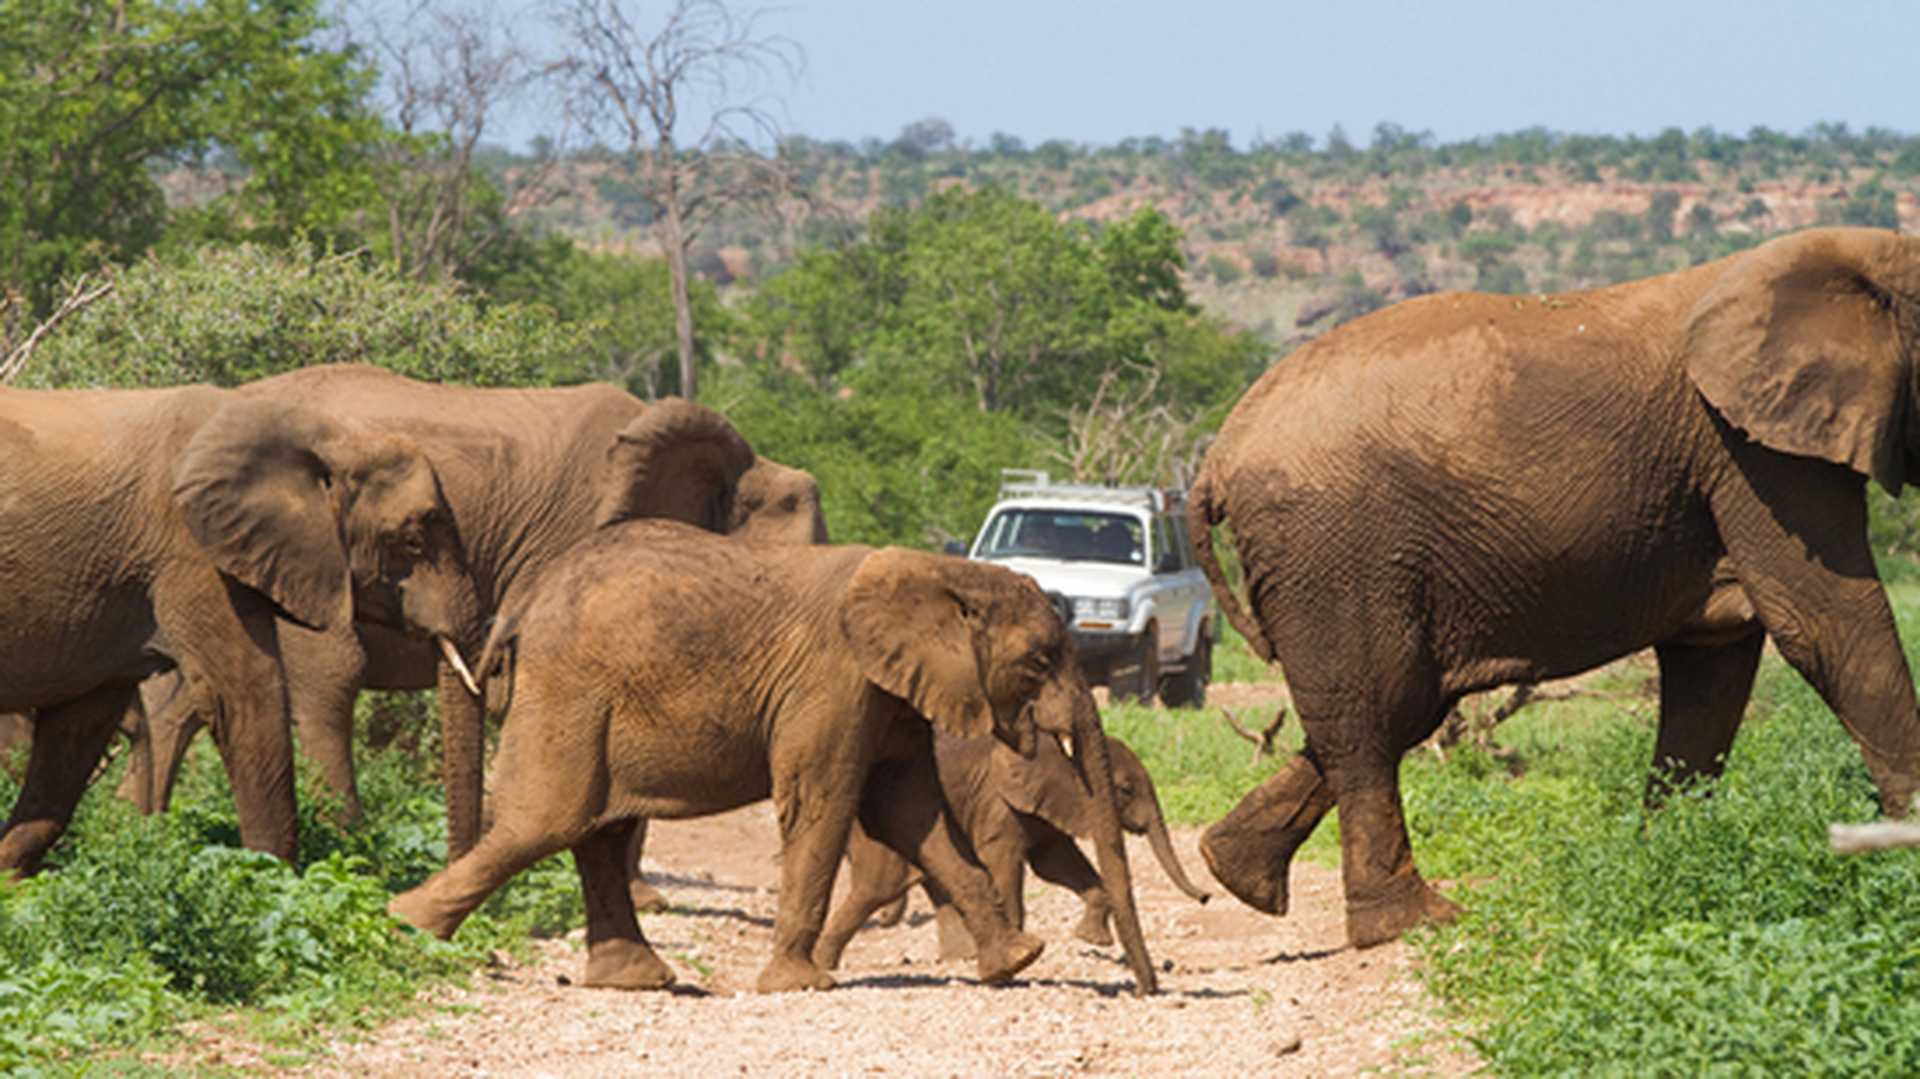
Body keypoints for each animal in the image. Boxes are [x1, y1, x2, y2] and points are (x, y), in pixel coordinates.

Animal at [0, 385, 479, 872]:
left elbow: (80, 725)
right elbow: (243, 694)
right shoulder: (189, 552)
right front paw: (270, 875)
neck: (322, 431)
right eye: (413, 542)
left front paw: (11, 877)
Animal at [388, 520, 1160, 996]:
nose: (1151, 987)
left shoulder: (887, 691)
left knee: (594, 829)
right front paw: (799, 984)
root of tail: (523, 601)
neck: (939, 570)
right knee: (548, 819)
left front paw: (1016, 961)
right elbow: (823, 802)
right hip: (570, 688)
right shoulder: (833, 680)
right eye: (1040, 659)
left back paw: (635, 978)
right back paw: (406, 926)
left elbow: (910, 815)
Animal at [813, 729, 1208, 969]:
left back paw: (963, 957)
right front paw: (1025, 946)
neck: (1060, 750)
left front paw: (1091, 939)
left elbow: (1055, 862)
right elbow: (1006, 863)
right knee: (884, 881)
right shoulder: (997, 804)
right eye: (1125, 790)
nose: (1205, 897)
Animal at [1187, 226, 1920, 950]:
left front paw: (1662, 857)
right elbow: (1824, 621)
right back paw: (1416, 921)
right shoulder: (1752, 453)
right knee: (1371, 716)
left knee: (1385, 712)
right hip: (1335, 551)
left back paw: (1234, 872)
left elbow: (1713, 664)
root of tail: (1215, 460)